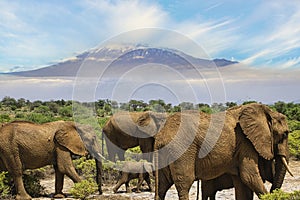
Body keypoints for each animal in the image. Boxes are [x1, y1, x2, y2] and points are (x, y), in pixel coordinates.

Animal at [154, 104, 292, 199]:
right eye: (285, 134)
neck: (266, 111)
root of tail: (161, 136)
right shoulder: (246, 143)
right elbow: (249, 176)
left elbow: (242, 182)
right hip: (181, 151)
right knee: (184, 185)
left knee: (162, 186)